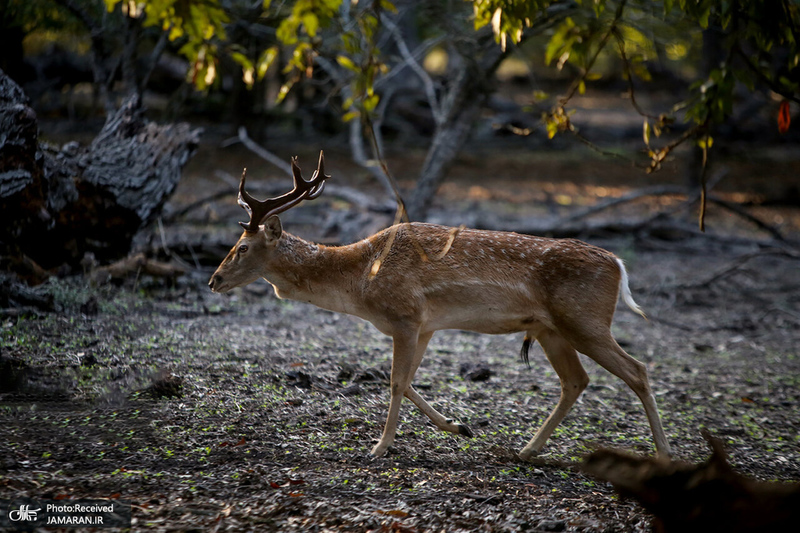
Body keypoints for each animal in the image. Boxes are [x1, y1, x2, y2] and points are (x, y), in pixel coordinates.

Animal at [206, 152, 668, 460]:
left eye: (242, 247)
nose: (214, 280)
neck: (361, 280)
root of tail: (619, 265)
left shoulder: (405, 315)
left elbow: (395, 382)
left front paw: (379, 447)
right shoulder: (425, 325)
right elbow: (408, 381)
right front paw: (459, 427)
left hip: (585, 320)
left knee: (637, 370)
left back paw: (663, 456)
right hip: (552, 328)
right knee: (576, 380)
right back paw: (525, 450)